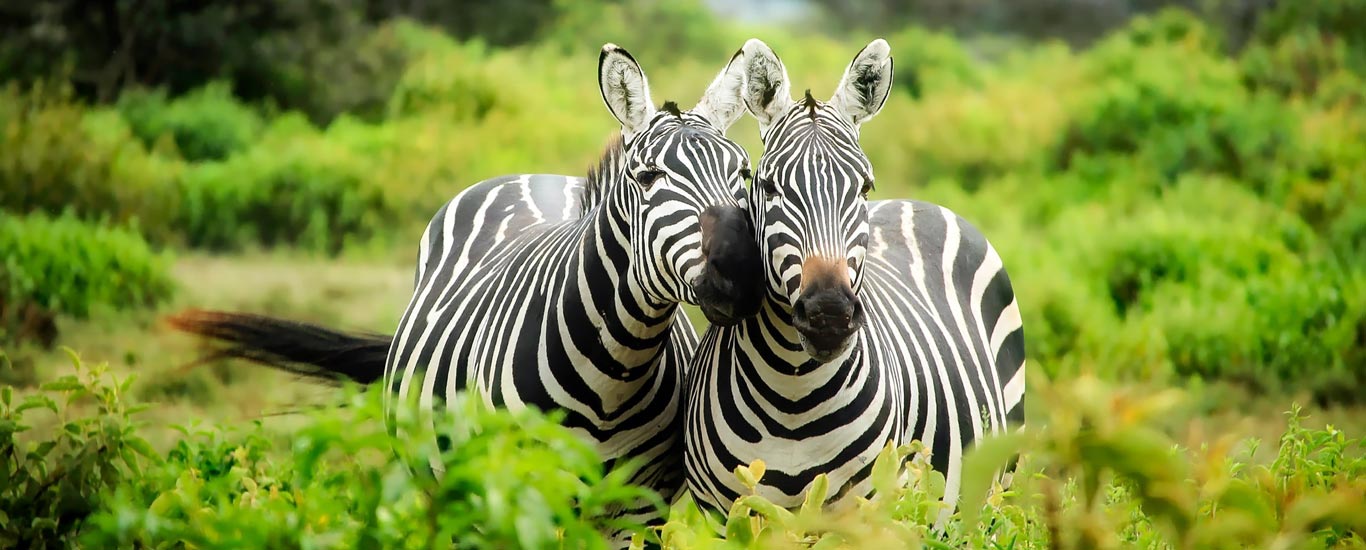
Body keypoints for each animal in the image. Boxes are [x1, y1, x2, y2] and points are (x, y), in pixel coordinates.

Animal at [169, 42, 764, 534]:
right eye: (647, 178)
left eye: (744, 175)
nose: (740, 274)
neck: (613, 375)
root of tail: (534, 176)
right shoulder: (514, 496)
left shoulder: (637, 513)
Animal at [683, 37, 1027, 521]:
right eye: (768, 187)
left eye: (864, 187)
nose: (828, 314)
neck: (792, 395)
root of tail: (918, 202)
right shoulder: (725, 517)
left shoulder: (866, 512)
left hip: (997, 487)